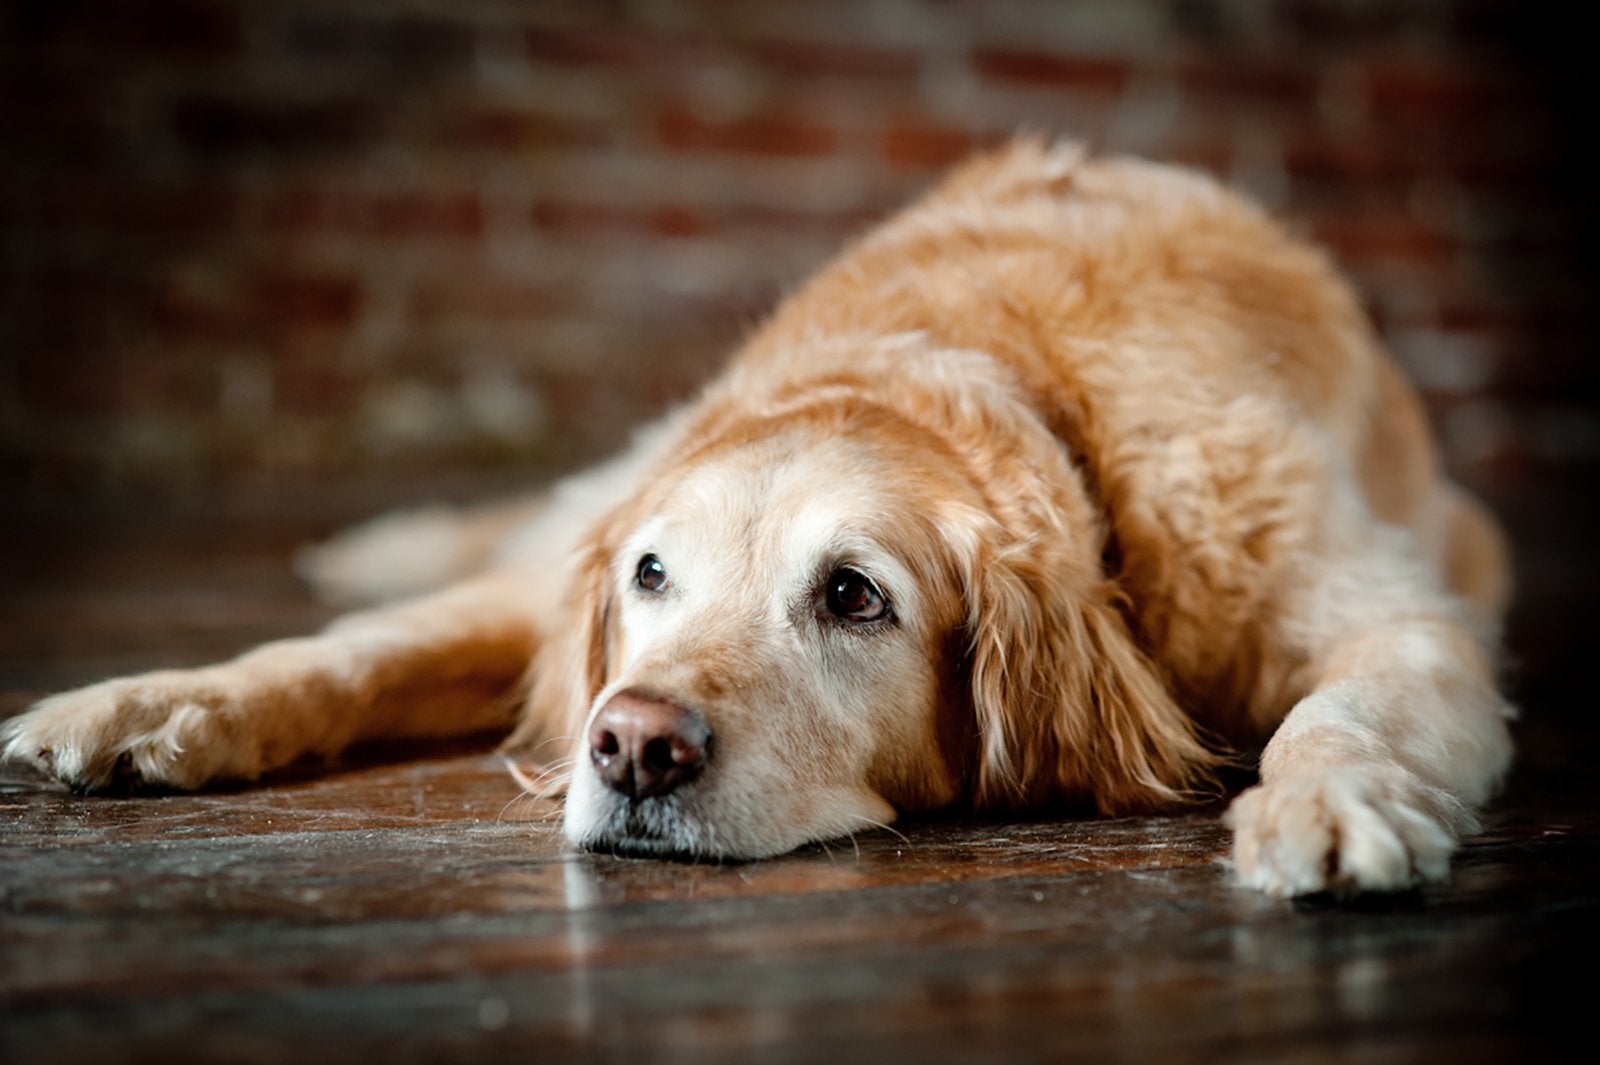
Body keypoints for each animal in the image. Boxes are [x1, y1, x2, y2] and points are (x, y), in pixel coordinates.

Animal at [3, 136, 1510, 889]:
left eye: (853, 595)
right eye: (653, 577)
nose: (631, 748)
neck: (999, 373)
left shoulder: (1396, 616)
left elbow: (1343, 708)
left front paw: (1317, 806)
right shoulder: (567, 581)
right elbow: (351, 654)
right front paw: (147, 704)